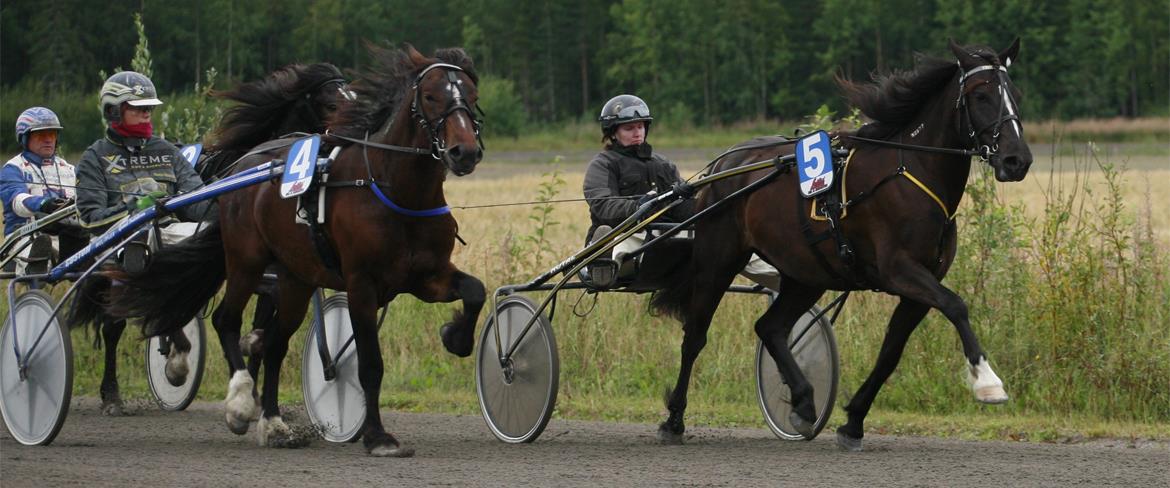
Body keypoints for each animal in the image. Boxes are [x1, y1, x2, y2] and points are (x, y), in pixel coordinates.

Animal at [68, 62, 349, 416]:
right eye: (331, 103)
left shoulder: (271, 274)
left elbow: (260, 331)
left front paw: (254, 391)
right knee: (117, 321)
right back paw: (118, 391)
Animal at [104, 44, 485, 457]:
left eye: (472, 95)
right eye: (430, 96)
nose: (464, 152)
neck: (396, 192)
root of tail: (241, 169)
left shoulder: (427, 275)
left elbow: (475, 291)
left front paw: (455, 336)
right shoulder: (361, 284)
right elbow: (369, 364)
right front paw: (378, 436)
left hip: (295, 280)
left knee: (275, 344)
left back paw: (273, 423)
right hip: (246, 263)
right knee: (225, 320)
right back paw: (239, 403)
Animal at [650, 39, 1032, 451]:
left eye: (1016, 94)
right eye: (981, 95)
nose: (1018, 160)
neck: (910, 173)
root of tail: (724, 163)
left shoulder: (919, 285)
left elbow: (890, 353)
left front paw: (853, 423)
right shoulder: (900, 270)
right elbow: (956, 305)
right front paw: (988, 382)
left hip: (807, 272)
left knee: (771, 328)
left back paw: (803, 402)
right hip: (717, 260)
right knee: (695, 337)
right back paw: (674, 420)